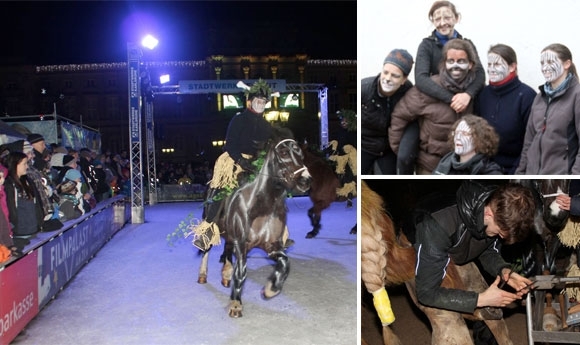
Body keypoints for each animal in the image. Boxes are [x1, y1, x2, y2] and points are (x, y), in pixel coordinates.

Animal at [197, 128, 310, 318]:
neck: (263, 204)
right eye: (284, 153)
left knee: (227, 250)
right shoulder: (242, 244)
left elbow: (285, 263)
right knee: (207, 249)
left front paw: (271, 289)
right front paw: (236, 304)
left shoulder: (271, 245)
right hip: (212, 227)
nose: (306, 180)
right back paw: (203, 275)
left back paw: (226, 276)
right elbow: (241, 271)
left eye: (301, 153)